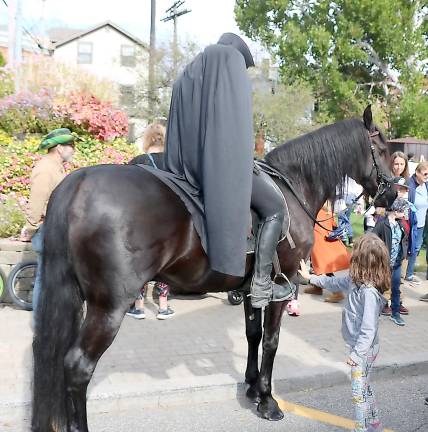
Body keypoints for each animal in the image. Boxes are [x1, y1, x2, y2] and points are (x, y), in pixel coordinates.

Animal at [33, 105, 394, 432]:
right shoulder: (284, 282)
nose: (393, 191)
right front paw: (267, 400)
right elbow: (271, 341)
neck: (293, 186)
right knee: (78, 366)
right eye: (380, 149)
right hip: (109, 306)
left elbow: (252, 334)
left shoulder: (252, 287)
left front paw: (251, 387)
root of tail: (78, 181)